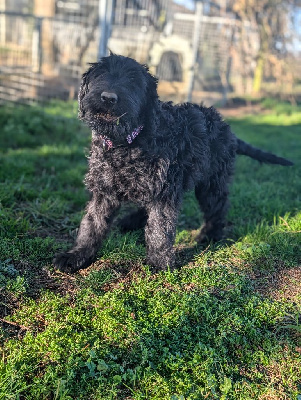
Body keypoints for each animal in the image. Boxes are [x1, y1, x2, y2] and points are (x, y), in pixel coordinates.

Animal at [53, 54, 290, 272]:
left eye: (133, 81)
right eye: (100, 75)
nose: (109, 98)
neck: (127, 144)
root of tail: (227, 129)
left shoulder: (164, 192)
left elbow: (159, 228)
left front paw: (159, 263)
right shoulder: (104, 191)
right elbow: (92, 224)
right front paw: (77, 255)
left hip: (211, 183)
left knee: (218, 208)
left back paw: (210, 236)